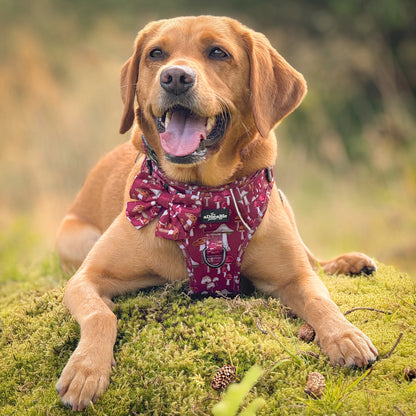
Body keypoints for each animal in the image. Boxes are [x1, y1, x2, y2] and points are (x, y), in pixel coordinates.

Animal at [54, 15, 376, 410]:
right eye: (155, 54)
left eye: (218, 52)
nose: (175, 77)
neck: (203, 197)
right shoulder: (87, 277)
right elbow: (100, 314)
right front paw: (86, 369)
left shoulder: (294, 277)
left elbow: (320, 299)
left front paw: (344, 335)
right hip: (77, 238)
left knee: (314, 260)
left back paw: (350, 262)